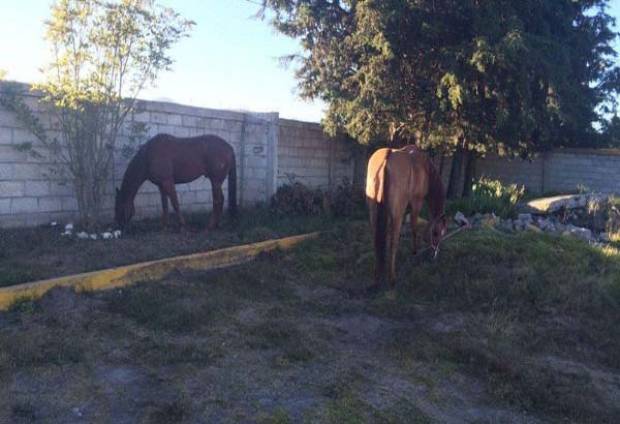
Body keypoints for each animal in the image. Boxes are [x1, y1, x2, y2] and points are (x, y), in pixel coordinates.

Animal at [366, 146, 448, 288]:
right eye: (436, 233)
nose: (434, 254)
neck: (425, 168)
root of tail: (386, 158)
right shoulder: (416, 203)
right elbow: (414, 227)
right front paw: (415, 251)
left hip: (374, 211)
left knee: (377, 239)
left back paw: (377, 276)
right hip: (397, 214)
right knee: (393, 243)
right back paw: (392, 278)